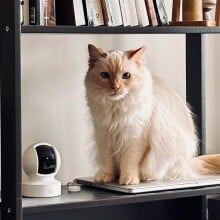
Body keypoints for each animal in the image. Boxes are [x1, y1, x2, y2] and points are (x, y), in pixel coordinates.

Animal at [84, 43, 220, 185]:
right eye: (104, 75)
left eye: (126, 75)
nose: (115, 87)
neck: (116, 107)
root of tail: (189, 163)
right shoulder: (103, 135)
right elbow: (106, 161)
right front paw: (105, 177)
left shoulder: (134, 136)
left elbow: (129, 162)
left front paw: (128, 179)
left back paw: (147, 177)